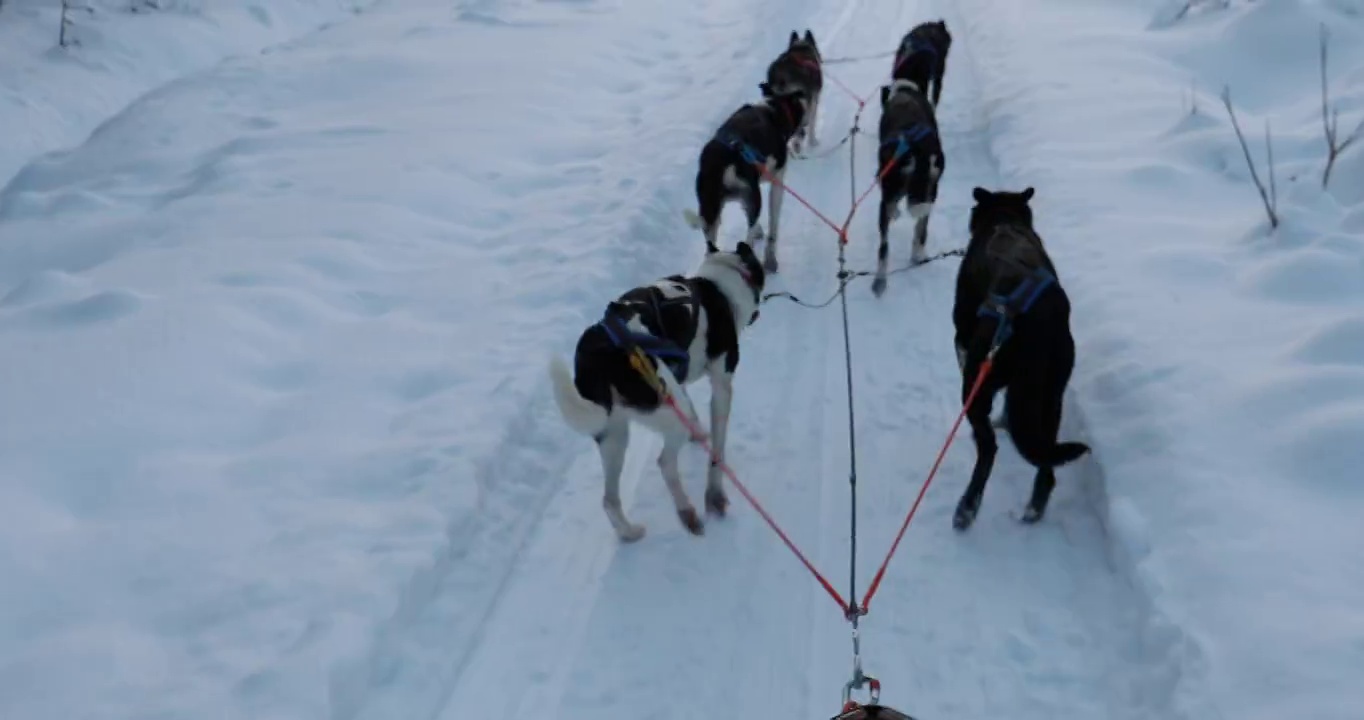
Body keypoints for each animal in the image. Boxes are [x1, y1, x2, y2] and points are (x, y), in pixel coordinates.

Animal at [551, 241, 769, 540]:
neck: (717, 284)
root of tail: (600, 349)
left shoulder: (680, 382)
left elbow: (694, 413)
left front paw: (698, 433)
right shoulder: (722, 387)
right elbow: (717, 450)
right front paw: (715, 494)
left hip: (614, 433)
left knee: (609, 500)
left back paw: (629, 532)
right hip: (662, 414)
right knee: (665, 463)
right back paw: (686, 511)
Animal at [682, 87, 807, 272]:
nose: (804, 131)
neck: (774, 109)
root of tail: (725, 160)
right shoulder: (777, 183)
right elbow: (773, 227)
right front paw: (770, 258)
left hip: (711, 210)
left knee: (711, 247)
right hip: (751, 199)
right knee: (748, 240)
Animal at [954, 186, 1091, 529]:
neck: (1004, 219)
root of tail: (1037, 321)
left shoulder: (962, 335)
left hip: (979, 382)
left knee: (988, 448)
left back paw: (967, 506)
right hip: (1051, 393)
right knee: (1046, 456)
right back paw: (1035, 505)